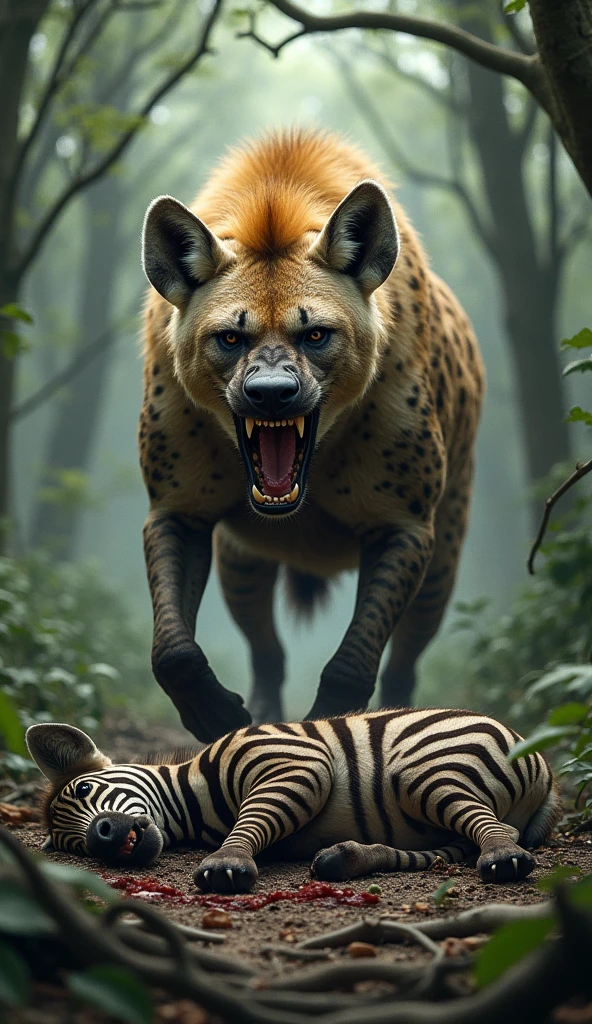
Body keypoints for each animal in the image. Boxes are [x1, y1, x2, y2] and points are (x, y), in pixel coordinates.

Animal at [26, 709, 561, 891]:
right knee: (452, 847)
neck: (198, 801)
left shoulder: (298, 763)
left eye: (84, 789)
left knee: (498, 832)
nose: (102, 837)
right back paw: (347, 859)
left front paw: (227, 865)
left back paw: (504, 857)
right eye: (75, 848)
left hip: (423, 771)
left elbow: (249, 824)